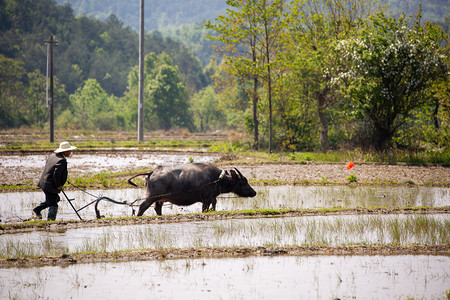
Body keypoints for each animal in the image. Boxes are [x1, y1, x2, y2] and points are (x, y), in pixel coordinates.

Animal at [128, 164, 258, 216]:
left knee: (157, 209)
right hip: (151, 196)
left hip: (159, 199)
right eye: (244, 181)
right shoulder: (206, 198)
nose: (254, 192)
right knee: (142, 206)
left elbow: (214, 206)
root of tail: (152, 172)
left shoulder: (212, 198)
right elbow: (205, 209)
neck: (217, 179)